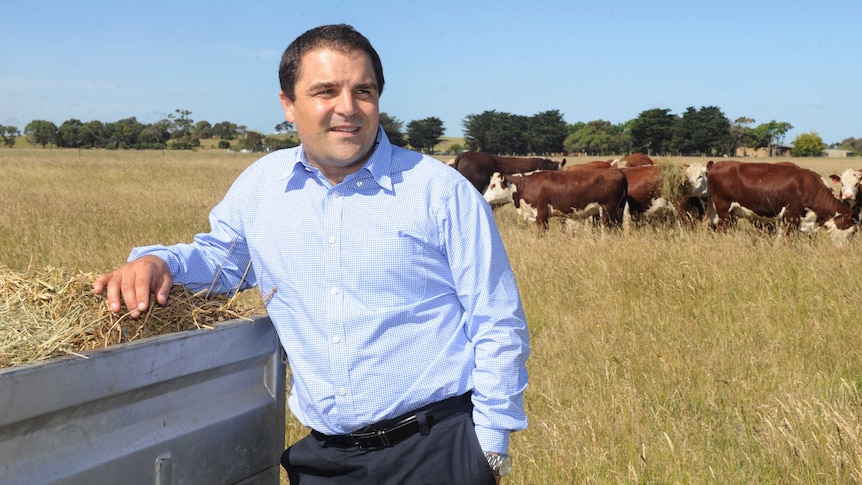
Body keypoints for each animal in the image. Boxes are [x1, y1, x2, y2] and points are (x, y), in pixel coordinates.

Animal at [480, 167, 628, 230]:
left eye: (493, 185)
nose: (483, 198)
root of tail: (618, 172)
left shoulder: (541, 215)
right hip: (617, 211)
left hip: (607, 211)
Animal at [708, 161, 856, 242]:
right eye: (851, 232)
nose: (843, 251)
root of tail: (717, 165)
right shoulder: (791, 217)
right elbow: (785, 240)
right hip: (723, 210)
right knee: (721, 229)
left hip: (731, 214)